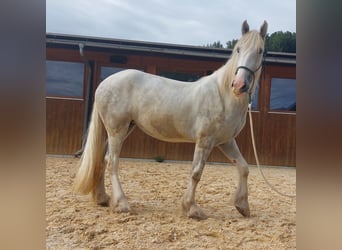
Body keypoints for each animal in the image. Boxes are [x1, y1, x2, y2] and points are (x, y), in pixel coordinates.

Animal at [74, 20, 268, 220]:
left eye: (260, 51)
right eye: (238, 49)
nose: (239, 85)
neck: (223, 95)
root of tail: (104, 83)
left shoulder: (225, 141)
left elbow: (243, 167)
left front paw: (242, 206)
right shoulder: (205, 141)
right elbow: (196, 172)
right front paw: (191, 208)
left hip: (123, 129)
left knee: (102, 158)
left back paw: (102, 198)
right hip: (117, 130)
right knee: (112, 161)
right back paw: (122, 203)